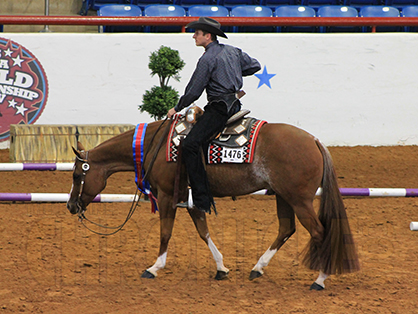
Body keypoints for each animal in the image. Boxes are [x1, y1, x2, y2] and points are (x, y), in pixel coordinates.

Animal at [68, 119, 360, 290]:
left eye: (76, 175)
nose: (71, 206)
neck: (156, 144)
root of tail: (314, 140)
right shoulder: (193, 199)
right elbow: (203, 231)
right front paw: (221, 268)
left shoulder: (167, 196)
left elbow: (165, 232)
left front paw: (154, 268)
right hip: (283, 196)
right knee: (286, 229)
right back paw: (257, 268)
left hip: (299, 200)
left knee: (319, 232)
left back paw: (320, 279)